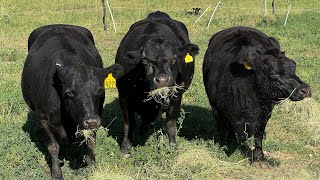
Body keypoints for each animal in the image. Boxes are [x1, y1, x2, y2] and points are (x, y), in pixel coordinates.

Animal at [21, 24, 123, 179]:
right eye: (69, 93)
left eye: (100, 91)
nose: (91, 121)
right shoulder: (42, 118)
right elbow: (53, 146)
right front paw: (56, 171)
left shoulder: (97, 113)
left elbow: (91, 140)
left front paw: (90, 162)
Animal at [115, 11, 200, 153]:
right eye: (145, 61)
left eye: (173, 59)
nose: (163, 80)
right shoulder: (124, 98)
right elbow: (128, 124)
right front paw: (125, 148)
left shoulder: (177, 97)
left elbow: (170, 124)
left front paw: (172, 147)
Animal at [204, 26, 312, 162]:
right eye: (274, 74)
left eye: (294, 67)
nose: (305, 89)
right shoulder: (216, 108)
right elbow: (222, 131)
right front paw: (222, 150)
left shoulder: (265, 112)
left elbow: (259, 134)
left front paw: (258, 156)